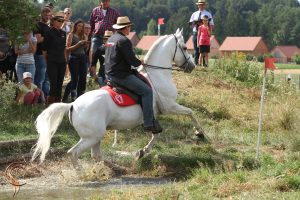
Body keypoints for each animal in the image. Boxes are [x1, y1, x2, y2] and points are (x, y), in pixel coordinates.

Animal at [31, 29, 205, 167]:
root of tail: (73, 104)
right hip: (92, 137)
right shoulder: (169, 106)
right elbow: (190, 113)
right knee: (73, 153)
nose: (192, 66)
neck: (157, 74)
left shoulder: (154, 115)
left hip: (95, 136)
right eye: (184, 47)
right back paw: (82, 173)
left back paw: (113, 169)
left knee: (96, 155)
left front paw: (142, 152)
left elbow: (156, 134)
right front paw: (200, 133)